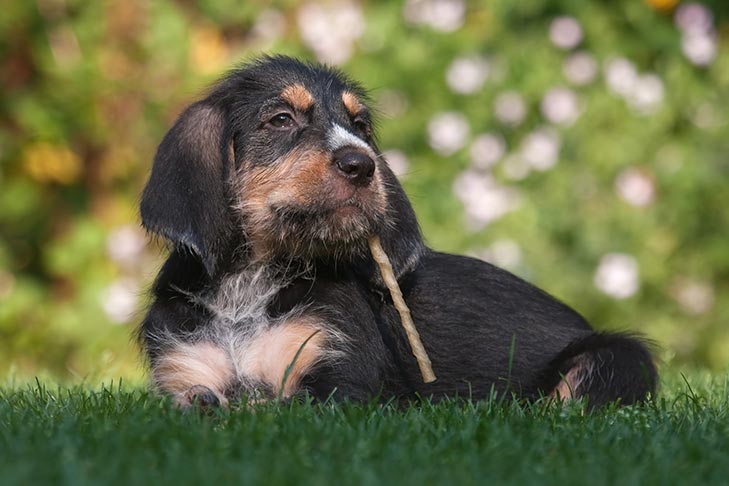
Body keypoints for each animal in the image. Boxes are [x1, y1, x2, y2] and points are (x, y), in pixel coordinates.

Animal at [139, 55, 656, 408]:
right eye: (281, 119)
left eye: (360, 125)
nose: (361, 165)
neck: (251, 281)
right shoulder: (185, 372)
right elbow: (200, 402)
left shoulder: (342, 384)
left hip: (617, 357)